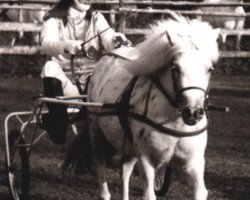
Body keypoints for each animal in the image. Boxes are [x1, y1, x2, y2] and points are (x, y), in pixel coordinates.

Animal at [87, 11, 220, 200]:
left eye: (210, 69)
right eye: (176, 68)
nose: (193, 113)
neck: (174, 121)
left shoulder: (193, 162)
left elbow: (200, 190)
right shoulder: (146, 158)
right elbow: (149, 193)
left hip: (128, 145)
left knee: (125, 170)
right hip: (96, 130)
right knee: (100, 165)